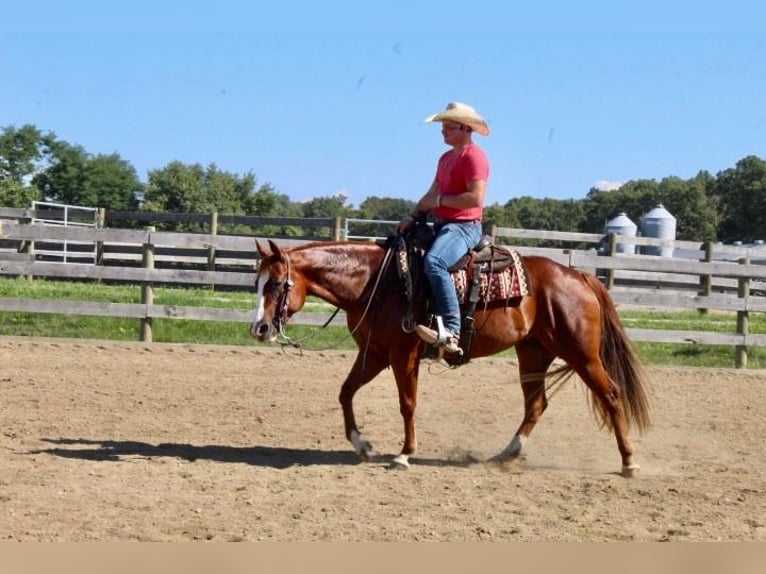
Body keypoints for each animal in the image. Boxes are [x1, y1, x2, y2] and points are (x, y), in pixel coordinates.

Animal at [252, 235, 656, 476]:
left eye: (276, 284)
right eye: (256, 283)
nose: (259, 328)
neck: (375, 282)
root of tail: (580, 276)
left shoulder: (402, 354)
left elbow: (407, 404)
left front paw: (404, 454)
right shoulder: (375, 353)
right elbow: (346, 391)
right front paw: (362, 444)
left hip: (581, 354)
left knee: (612, 394)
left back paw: (629, 463)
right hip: (533, 353)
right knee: (536, 404)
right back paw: (505, 455)